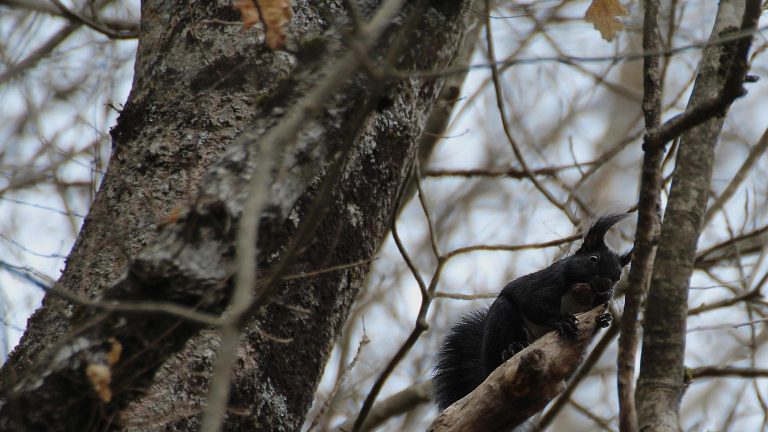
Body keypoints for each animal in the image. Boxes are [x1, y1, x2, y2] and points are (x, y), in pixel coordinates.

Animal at [432, 214, 632, 410]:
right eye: (593, 259)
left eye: (618, 276)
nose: (606, 284)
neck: (578, 294)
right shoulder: (547, 282)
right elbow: (535, 304)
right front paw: (561, 320)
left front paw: (604, 319)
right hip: (501, 321)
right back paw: (511, 350)